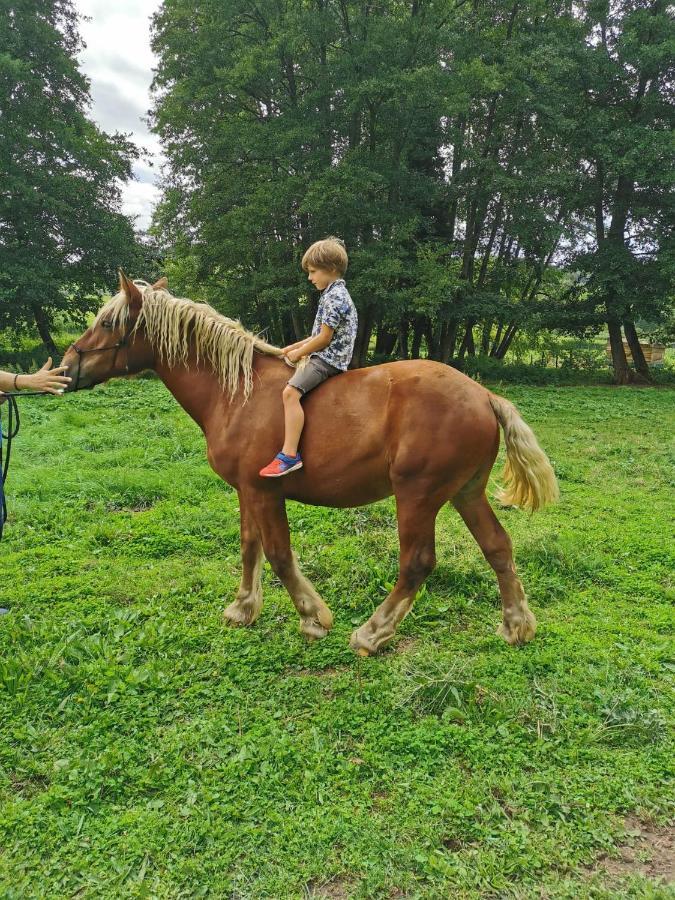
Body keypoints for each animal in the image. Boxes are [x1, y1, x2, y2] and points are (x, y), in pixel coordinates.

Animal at [63, 272, 560, 652]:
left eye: (108, 322)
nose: (68, 368)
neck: (236, 393)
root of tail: (483, 395)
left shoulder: (264, 491)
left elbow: (280, 555)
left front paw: (314, 617)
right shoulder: (248, 492)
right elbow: (250, 547)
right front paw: (243, 608)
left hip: (417, 496)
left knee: (417, 562)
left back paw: (372, 633)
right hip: (465, 493)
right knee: (498, 547)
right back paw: (516, 626)